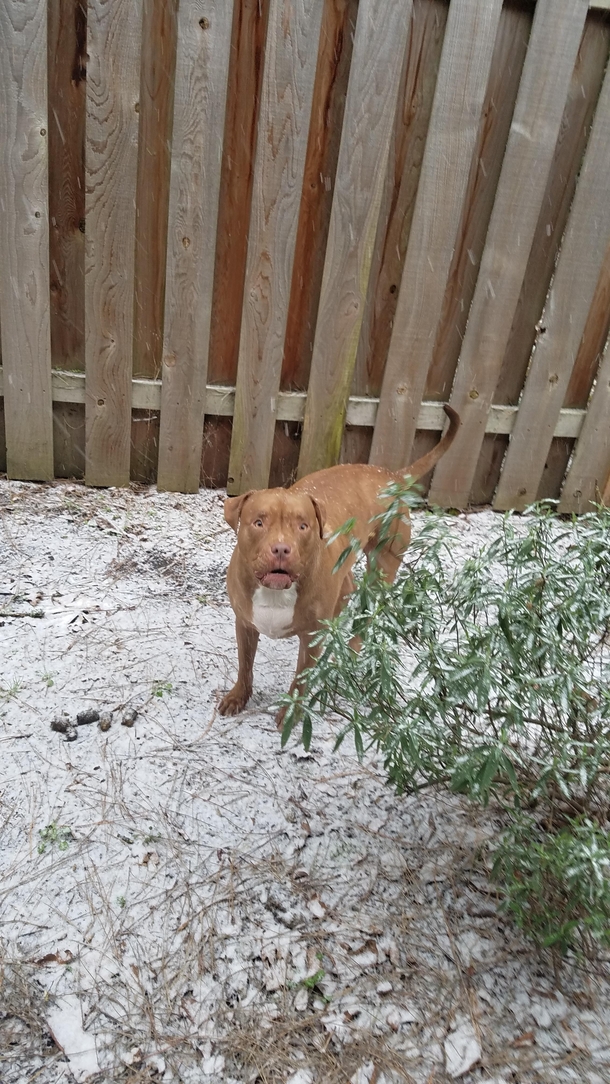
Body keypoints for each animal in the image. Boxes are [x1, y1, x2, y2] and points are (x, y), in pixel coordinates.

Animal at [219, 407, 459, 728]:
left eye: (303, 526)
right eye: (258, 522)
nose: (281, 549)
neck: (275, 591)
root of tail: (392, 476)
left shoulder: (310, 639)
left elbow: (301, 679)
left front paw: (292, 710)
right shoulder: (245, 623)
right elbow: (245, 665)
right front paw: (238, 696)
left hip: (383, 565)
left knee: (367, 615)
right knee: (348, 589)